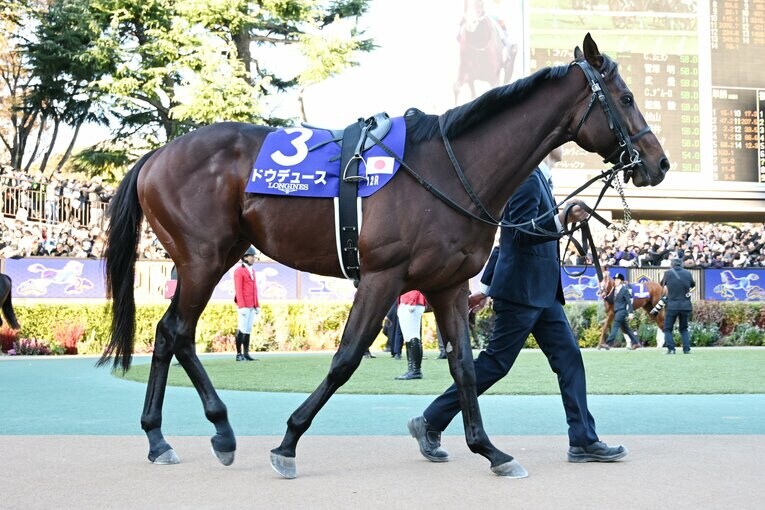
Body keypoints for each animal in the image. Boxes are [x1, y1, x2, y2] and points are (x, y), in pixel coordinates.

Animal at [99, 34, 669, 478]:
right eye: (626, 96)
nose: (659, 162)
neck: (449, 169)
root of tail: (155, 155)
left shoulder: (449, 284)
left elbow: (465, 367)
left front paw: (488, 450)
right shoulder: (381, 276)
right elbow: (347, 357)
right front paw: (288, 442)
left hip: (214, 257)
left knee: (169, 333)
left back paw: (179, 436)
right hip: (203, 259)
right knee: (176, 331)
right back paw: (197, 433)